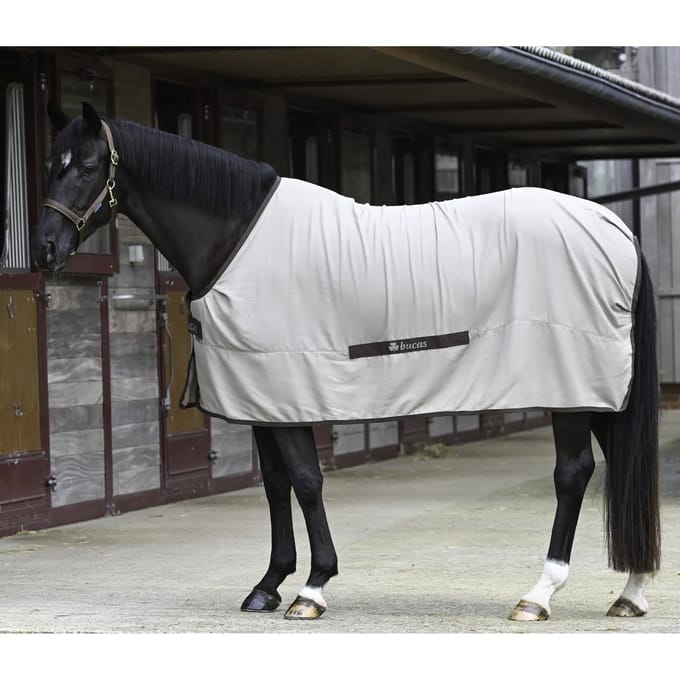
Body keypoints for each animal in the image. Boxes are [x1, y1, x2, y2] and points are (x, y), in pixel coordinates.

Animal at [32, 101, 660, 623]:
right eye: (49, 164)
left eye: (86, 166)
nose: (43, 250)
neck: (237, 240)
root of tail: (616, 227)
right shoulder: (261, 397)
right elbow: (275, 485)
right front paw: (268, 585)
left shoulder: (287, 388)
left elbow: (307, 482)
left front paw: (312, 589)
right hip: (602, 391)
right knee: (623, 465)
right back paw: (630, 593)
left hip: (570, 390)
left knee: (573, 474)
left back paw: (538, 595)